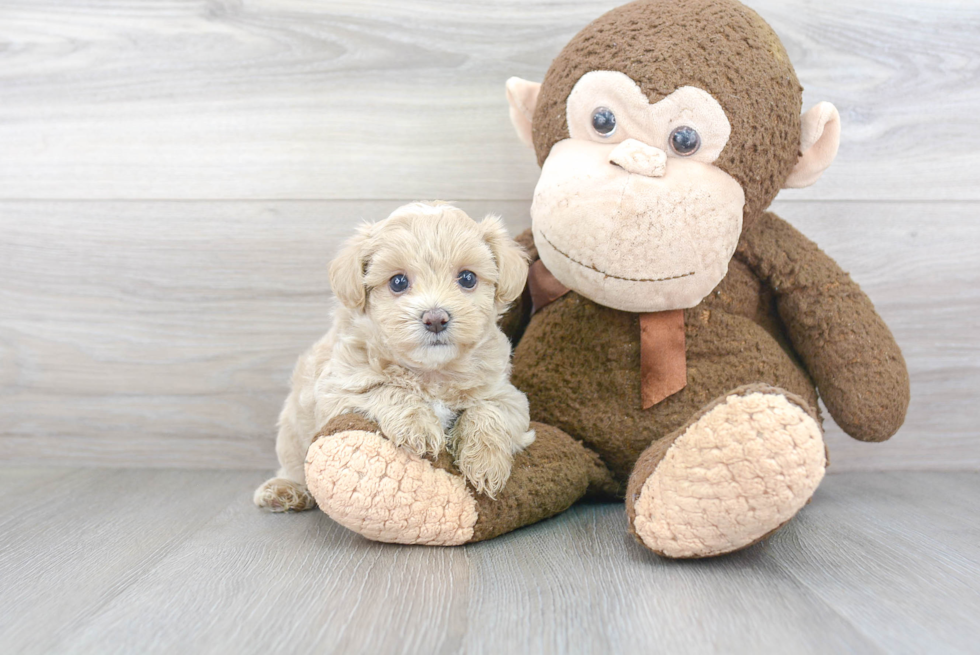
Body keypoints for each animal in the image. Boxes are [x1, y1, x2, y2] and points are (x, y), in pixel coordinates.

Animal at [253, 202, 536, 510]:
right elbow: (386, 388)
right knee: (293, 466)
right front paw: (419, 426)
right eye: (398, 282)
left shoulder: (508, 396)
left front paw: (486, 462)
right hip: (292, 435)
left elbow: (488, 411)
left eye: (468, 278)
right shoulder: (337, 389)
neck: (431, 372)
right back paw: (285, 489)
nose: (435, 319)